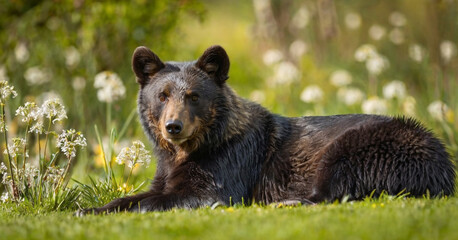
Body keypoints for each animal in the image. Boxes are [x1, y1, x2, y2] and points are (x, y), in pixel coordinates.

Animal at [76, 45, 454, 216]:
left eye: (194, 96)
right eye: (162, 95)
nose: (173, 127)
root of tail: (443, 165)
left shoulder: (221, 182)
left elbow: (158, 202)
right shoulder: (166, 176)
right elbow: (135, 197)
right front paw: (90, 209)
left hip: (357, 146)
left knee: (331, 192)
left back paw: (285, 202)